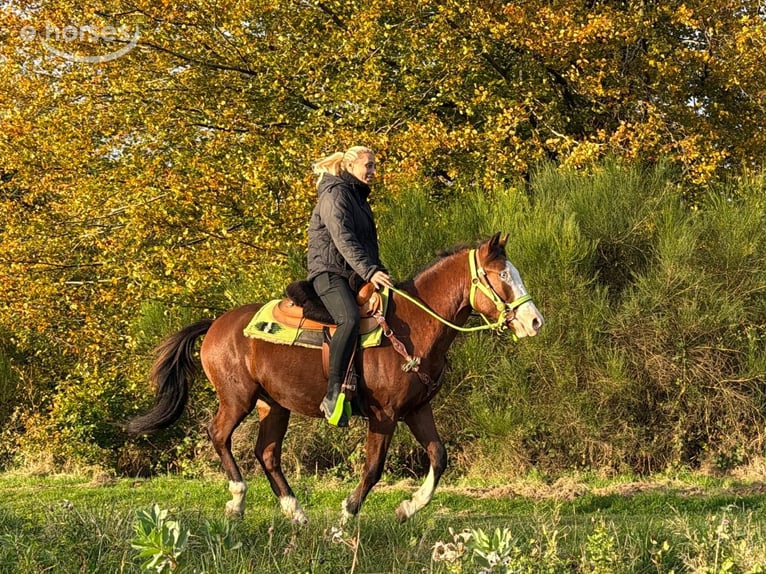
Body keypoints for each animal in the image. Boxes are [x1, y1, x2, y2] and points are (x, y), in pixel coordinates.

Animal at [126, 232, 544, 524]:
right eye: (502, 276)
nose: (534, 321)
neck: (413, 325)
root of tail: (215, 324)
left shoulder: (417, 410)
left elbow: (439, 457)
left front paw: (407, 508)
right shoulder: (384, 415)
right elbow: (373, 469)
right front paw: (345, 518)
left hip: (273, 405)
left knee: (267, 453)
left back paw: (295, 512)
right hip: (236, 399)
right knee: (219, 436)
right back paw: (237, 499)